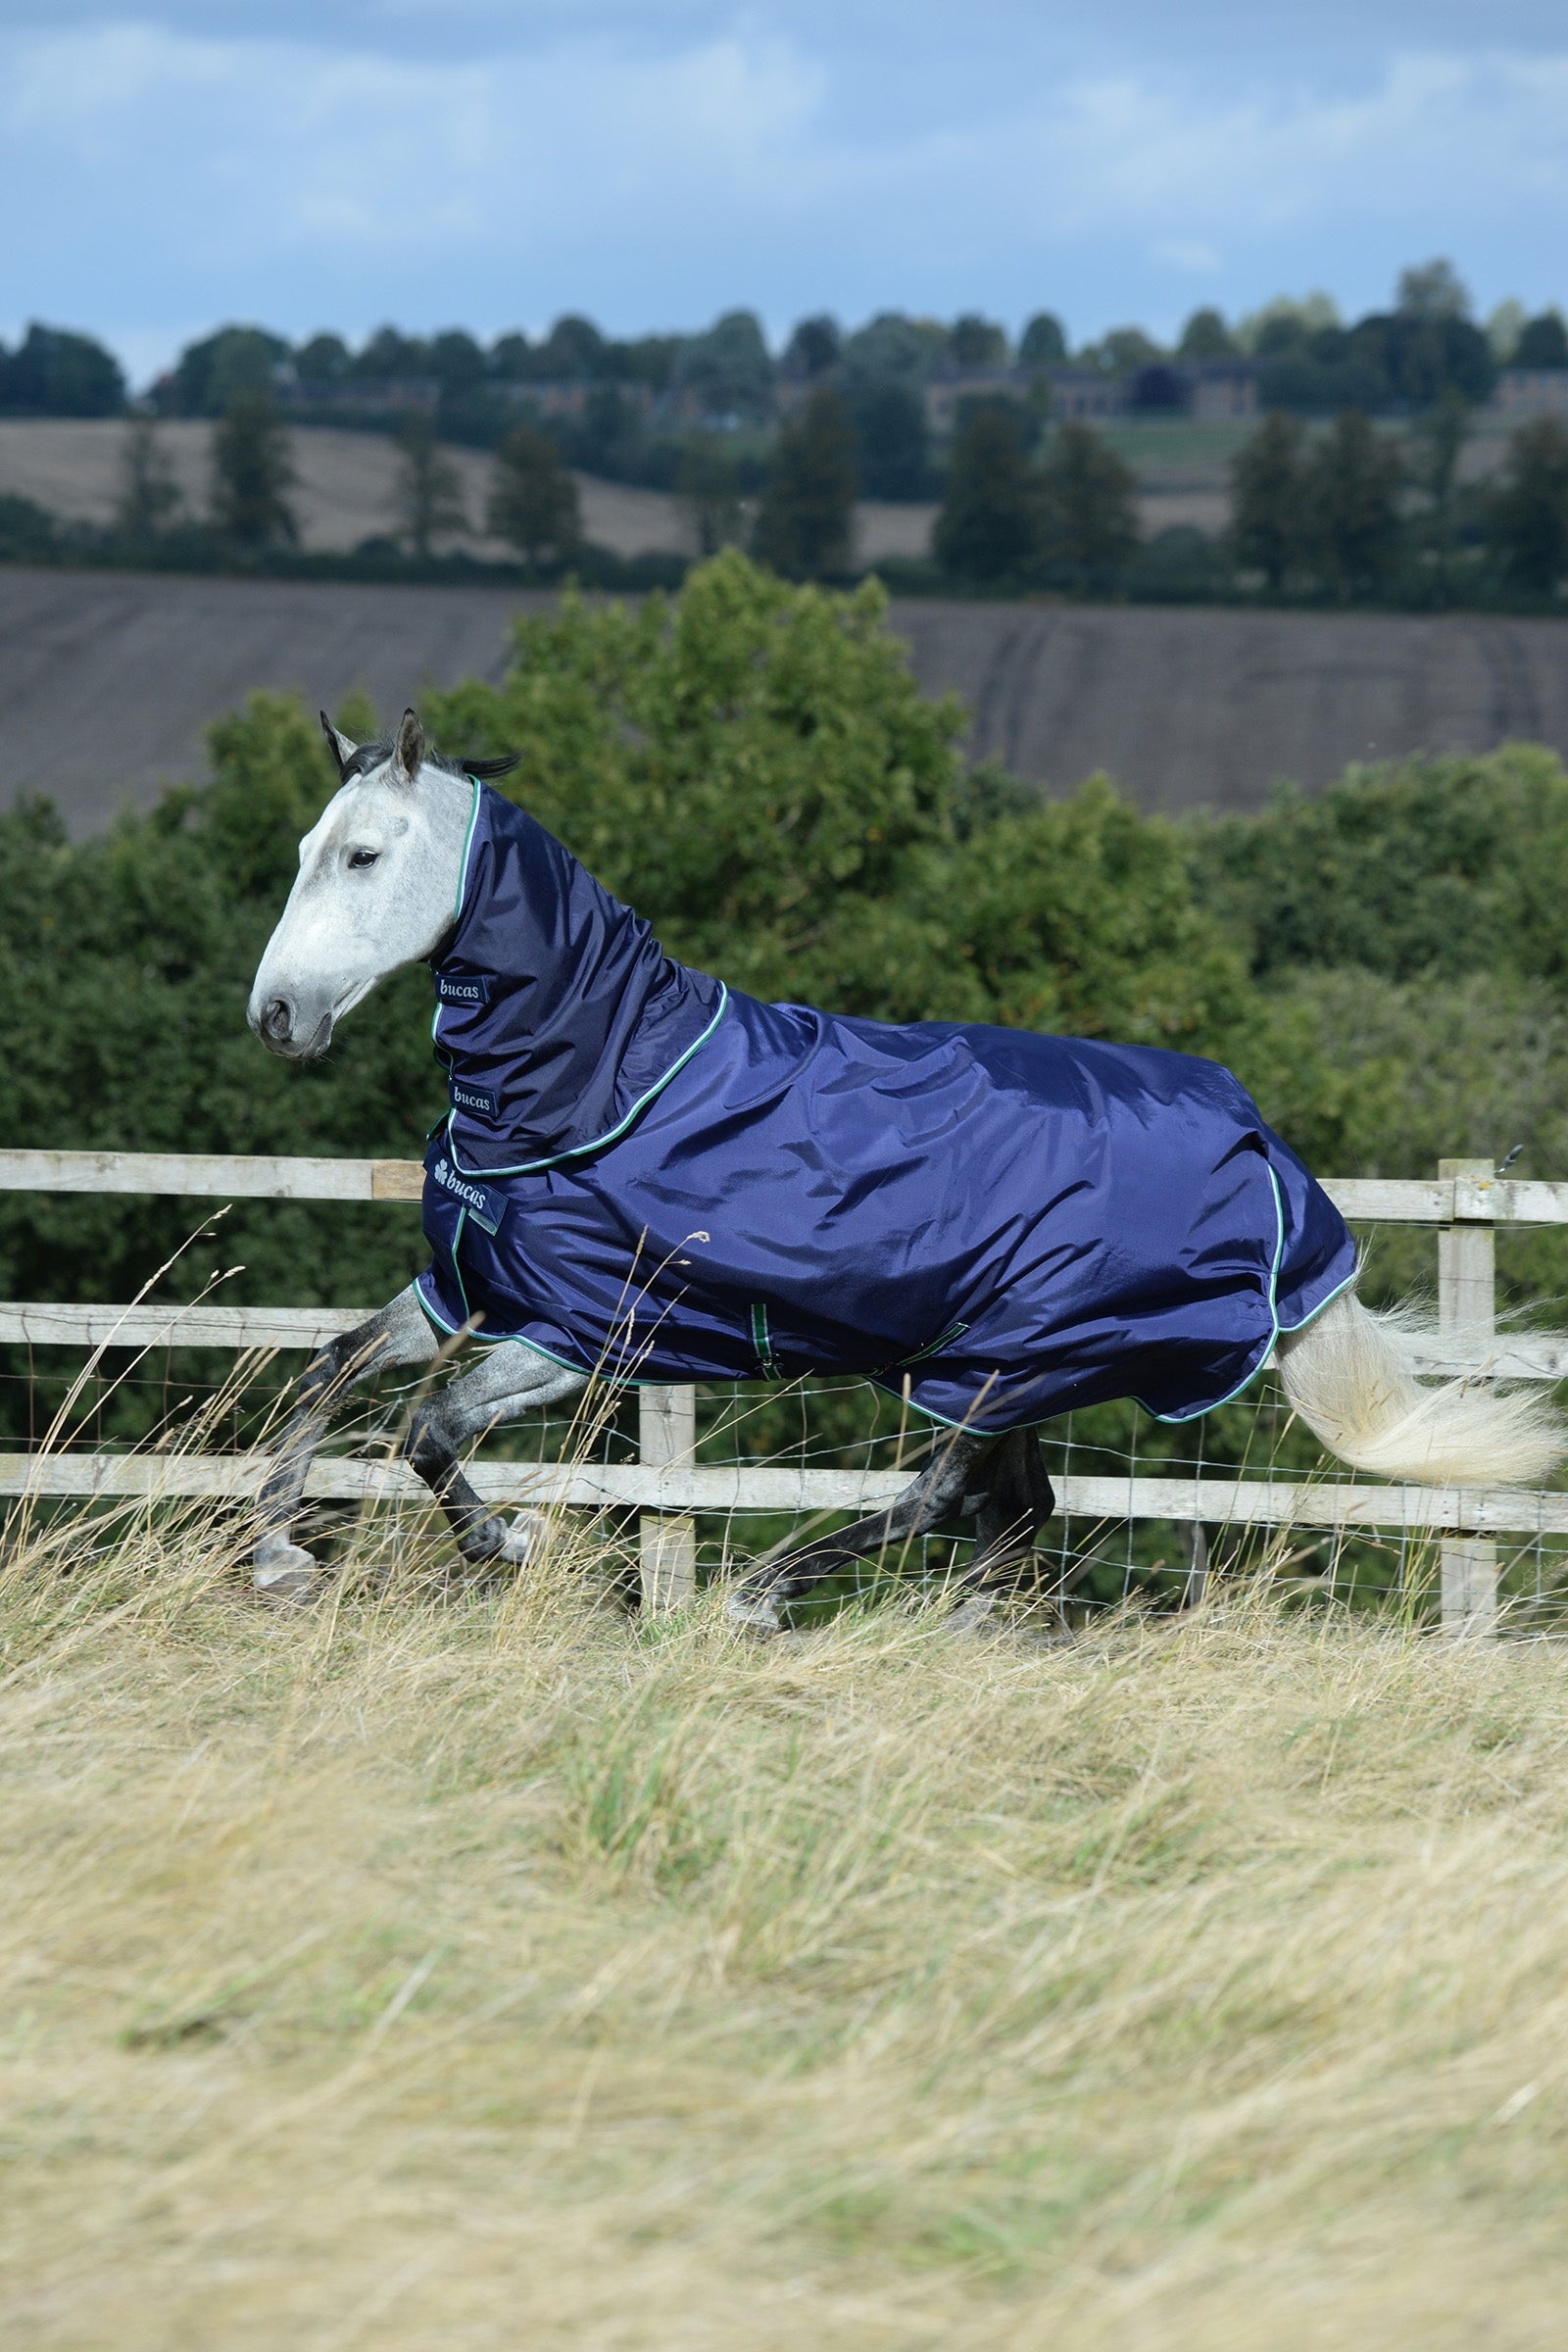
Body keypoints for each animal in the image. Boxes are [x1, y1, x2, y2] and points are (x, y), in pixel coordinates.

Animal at [245, 708, 1564, 1620]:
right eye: (302, 845)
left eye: (363, 857)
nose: (275, 1016)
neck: (598, 1081)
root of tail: (1268, 1158)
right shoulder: (465, 1290)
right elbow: (330, 1369)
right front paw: (275, 1557)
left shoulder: (578, 1329)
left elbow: (427, 1426)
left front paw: (506, 1546)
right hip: (1018, 1367)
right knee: (1011, 1516)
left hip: (1008, 1357)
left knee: (945, 1499)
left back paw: (762, 1596)